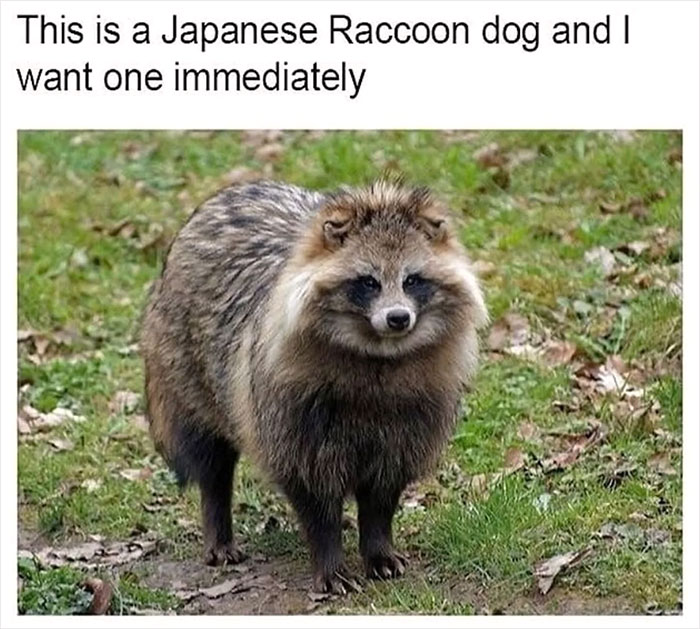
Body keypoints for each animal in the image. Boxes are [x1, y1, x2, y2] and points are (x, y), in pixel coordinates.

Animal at [141, 179, 488, 594]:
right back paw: (218, 522)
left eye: (412, 280)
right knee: (211, 459)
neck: (378, 354)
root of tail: (229, 191)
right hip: (186, 369)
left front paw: (377, 546)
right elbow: (312, 491)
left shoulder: (413, 415)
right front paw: (330, 558)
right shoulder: (291, 411)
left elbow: (383, 491)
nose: (398, 318)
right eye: (368, 282)